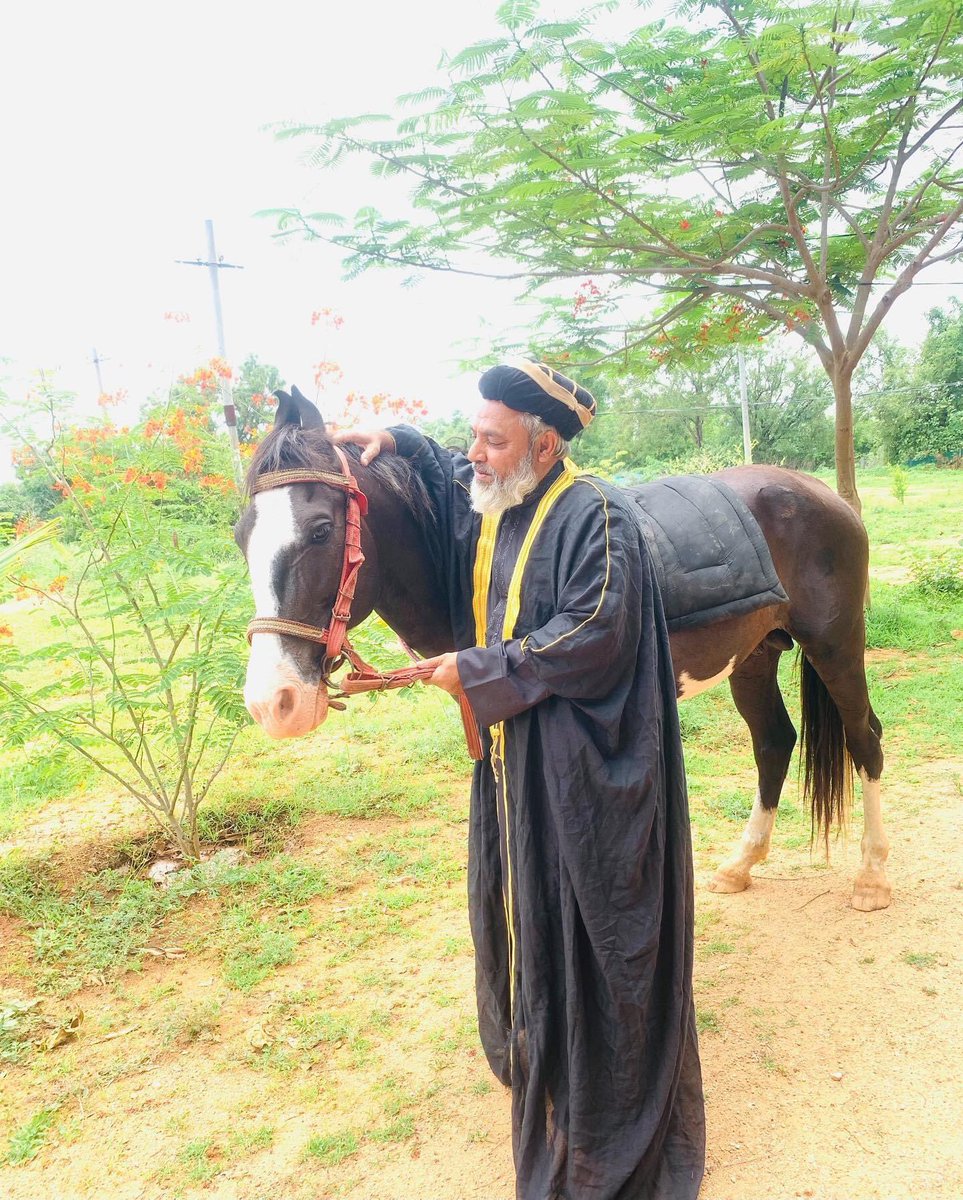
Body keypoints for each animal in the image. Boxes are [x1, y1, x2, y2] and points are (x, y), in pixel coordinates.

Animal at [234, 391, 891, 913]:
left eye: (321, 531)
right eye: (242, 537)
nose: (273, 702)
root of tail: (822, 494)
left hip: (835, 645)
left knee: (865, 738)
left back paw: (872, 876)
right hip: (752, 657)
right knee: (774, 742)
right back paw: (741, 864)